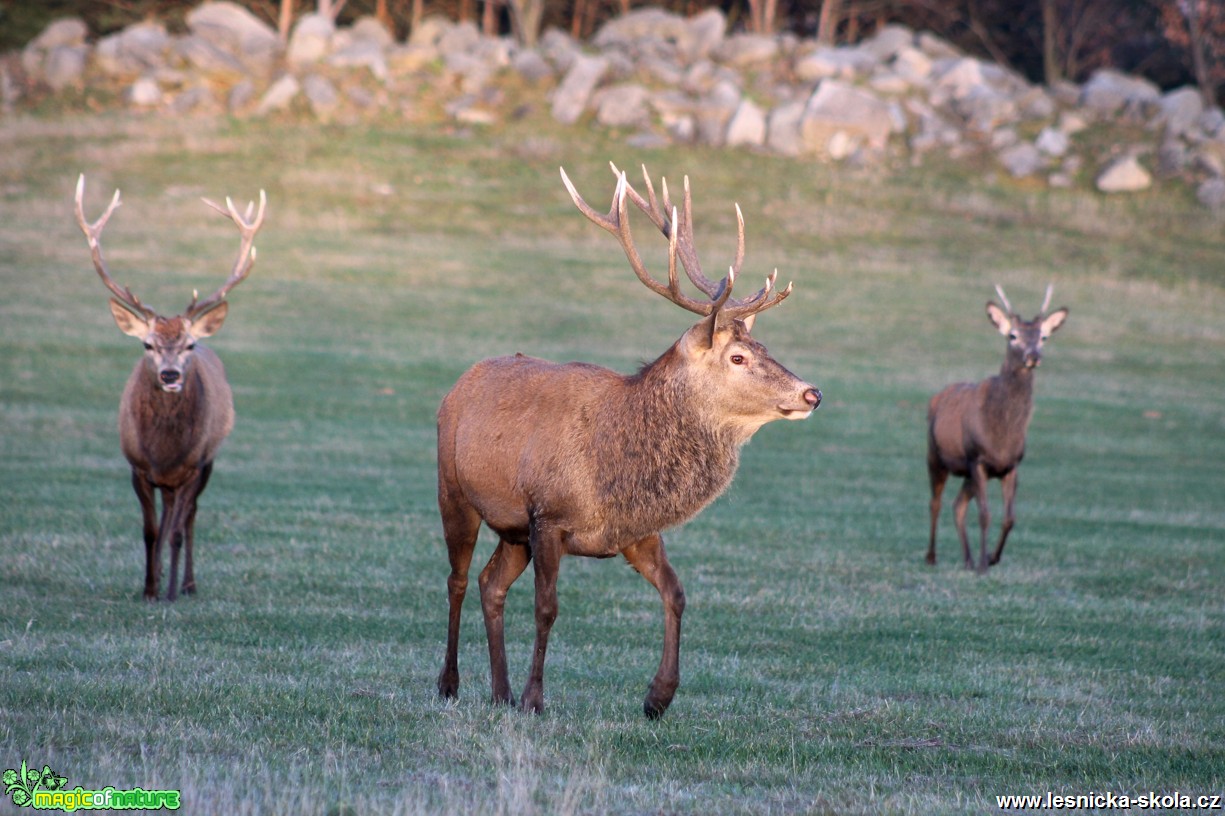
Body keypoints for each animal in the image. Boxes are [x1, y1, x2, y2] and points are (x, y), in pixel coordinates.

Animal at [75, 175, 267, 600]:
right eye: (147, 344)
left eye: (189, 345)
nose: (170, 375)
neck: (164, 449)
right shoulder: (137, 465)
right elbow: (150, 531)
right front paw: (149, 587)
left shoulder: (195, 465)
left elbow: (178, 529)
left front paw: (171, 591)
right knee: (166, 518)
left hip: (207, 462)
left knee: (189, 518)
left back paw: (187, 583)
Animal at [436, 161, 818, 715]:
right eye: (738, 357)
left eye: (765, 346)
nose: (812, 393)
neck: (615, 474)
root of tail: (458, 385)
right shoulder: (548, 515)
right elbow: (547, 608)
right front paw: (535, 698)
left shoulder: (635, 532)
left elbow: (676, 593)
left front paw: (658, 697)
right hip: (454, 492)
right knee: (459, 580)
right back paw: (451, 684)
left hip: (511, 529)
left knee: (491, 584)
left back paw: (499, 691)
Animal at [921, 285, 1068, 570]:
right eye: (1013, 335)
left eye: (1043, 337)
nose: (1032, 357)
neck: (1001, 433)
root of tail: (938, 396)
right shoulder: (977, 458)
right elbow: (985, 514)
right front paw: (982, 565)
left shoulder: (1010, 466)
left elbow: (1009, 518)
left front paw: (991, 558)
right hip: (936, 457)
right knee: (936, 503)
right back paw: (932, 556)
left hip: (967, 473)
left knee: (957, 505)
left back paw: (967, 559)